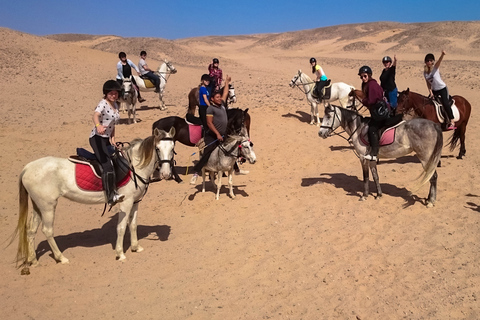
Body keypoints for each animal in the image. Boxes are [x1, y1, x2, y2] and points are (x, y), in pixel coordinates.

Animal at [11, 126, 176, 274]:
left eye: (173, 148)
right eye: (158, 149)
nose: (166, 174)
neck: (133, 166)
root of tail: (27, 168)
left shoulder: (135, 202)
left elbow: (133, 225)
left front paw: (136, 247)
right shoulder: (126, 202)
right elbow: (122, 227)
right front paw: (120, 254)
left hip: (38, 205)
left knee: (31, 230)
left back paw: (33, 260)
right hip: (48, 206)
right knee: (47, 231)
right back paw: (61, 257)